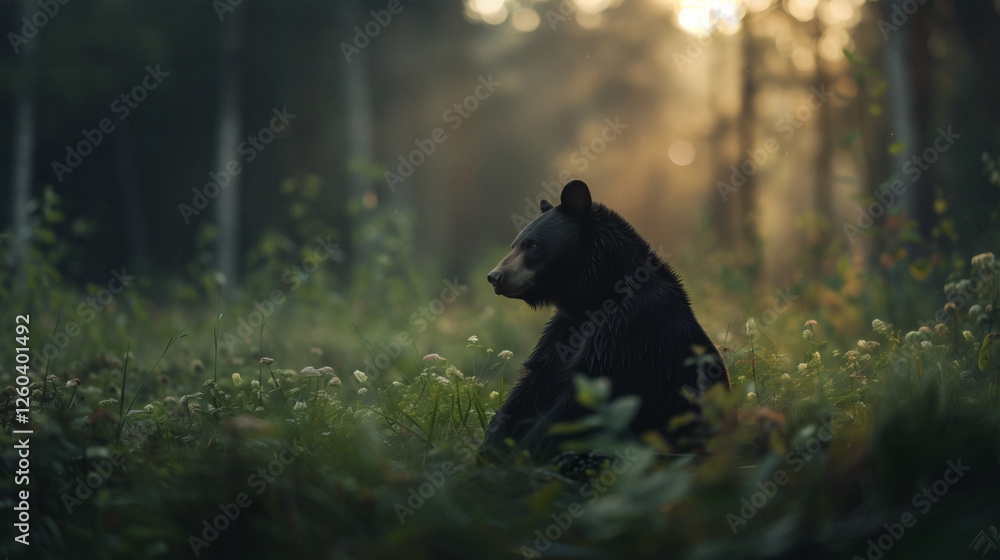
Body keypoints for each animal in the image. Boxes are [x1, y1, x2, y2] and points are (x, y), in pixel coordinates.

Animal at [483, 180, 730, 459]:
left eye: (532, 245)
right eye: (515, 244)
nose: (495, 277)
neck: (594, 297)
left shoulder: (628, 331)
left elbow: (583, 403)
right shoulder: (563, 330)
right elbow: (531, 387)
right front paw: (490, 447)